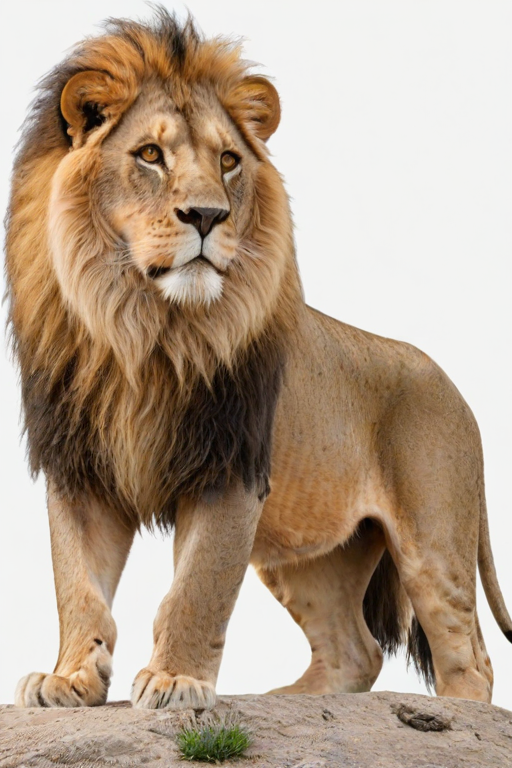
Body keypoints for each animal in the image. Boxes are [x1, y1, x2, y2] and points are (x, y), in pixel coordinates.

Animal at [5, 9, 511, 710]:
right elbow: (76, 584)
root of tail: (455, 387)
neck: (143, 329)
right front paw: (69, 677)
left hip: (434, 539)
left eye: (228, 161)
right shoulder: (79, 466)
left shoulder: (230, 464)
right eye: (150, 155)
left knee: (470, 658)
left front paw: (175, 679)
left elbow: (197, 589)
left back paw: (449, 713)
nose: (207, 215)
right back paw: (294, 700)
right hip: (308, 552)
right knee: (355, 649)